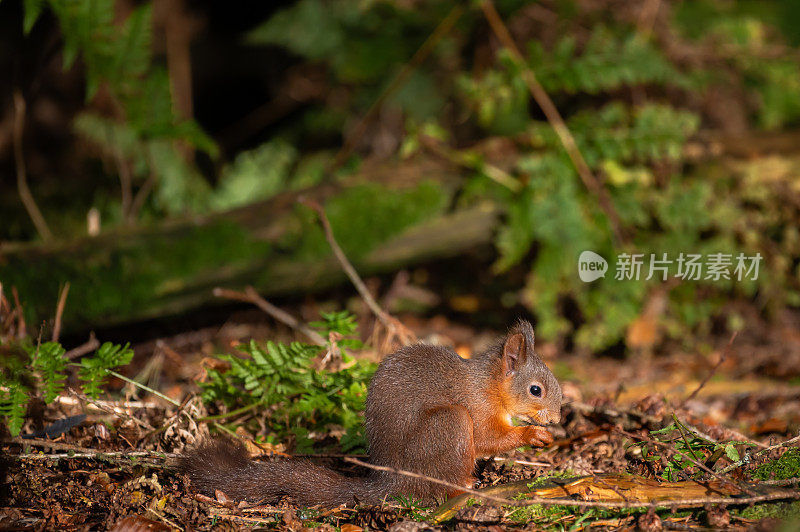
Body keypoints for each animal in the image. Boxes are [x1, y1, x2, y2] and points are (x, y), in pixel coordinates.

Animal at [180, 320, 564, 508]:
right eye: (536, 390)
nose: (557, 419)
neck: (491, 384)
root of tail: (392, 482)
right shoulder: (478, 406)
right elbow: (488, 438)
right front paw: (534, 434)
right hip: (450, 425)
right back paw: (465, 485)